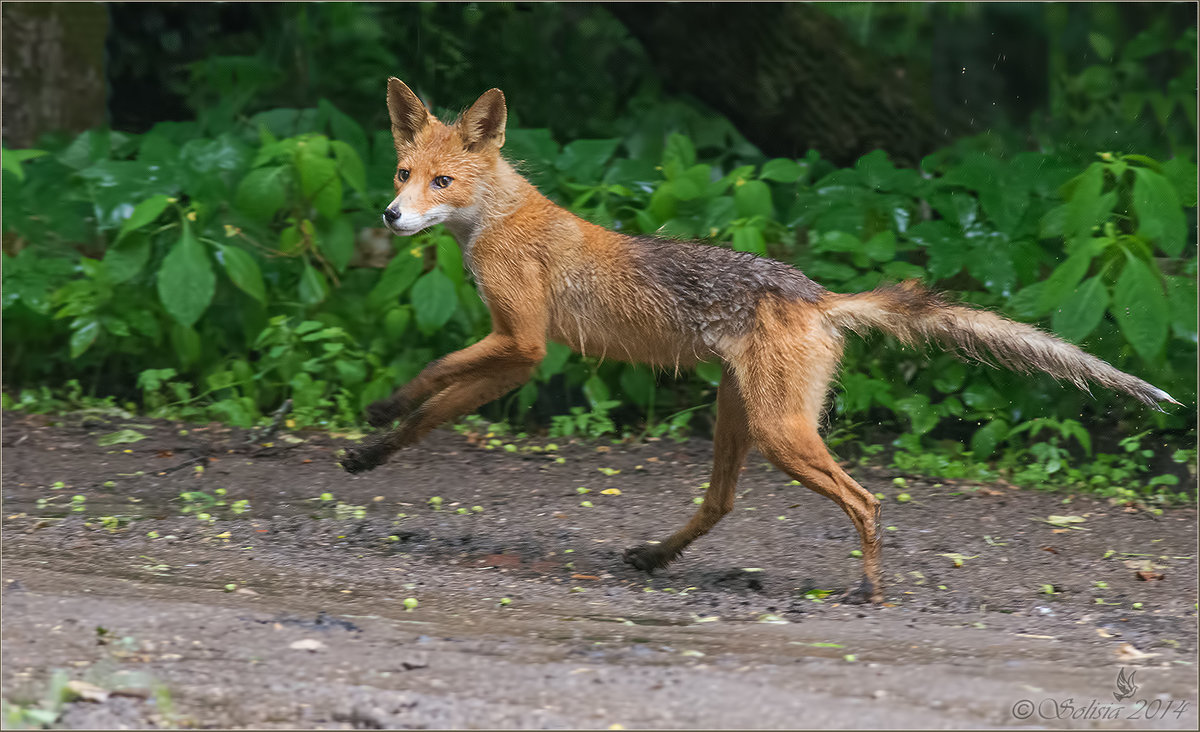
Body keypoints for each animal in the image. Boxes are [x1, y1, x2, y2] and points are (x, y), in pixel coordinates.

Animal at [340, 79, 1180, 602]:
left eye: (442, 183)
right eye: (403, 171)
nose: (390, 216)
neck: (499, 219)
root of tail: (819, 296)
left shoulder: (522, 342)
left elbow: (433, 374)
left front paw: (378, 410)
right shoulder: (516, 356)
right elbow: (431, 415)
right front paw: (370, 453)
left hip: (780, 430)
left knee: (865, 498)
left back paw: (871, 588)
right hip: (738, 415)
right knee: (722, 503)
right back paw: (656, 556)